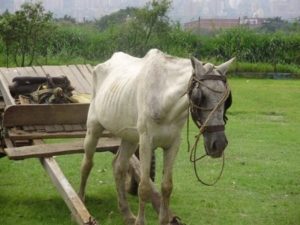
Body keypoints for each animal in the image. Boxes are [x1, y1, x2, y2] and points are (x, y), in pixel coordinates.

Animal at [78, 49, 233, 225]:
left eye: (226, 99)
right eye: (200, 96)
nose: (219, 144)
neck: (164, 99)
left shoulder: (173, 144)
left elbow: (166, 186)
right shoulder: (146, 142)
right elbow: (144, 187)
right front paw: (140, 221)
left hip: (130, 138)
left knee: (119, 166)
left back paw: (126, 213)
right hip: (93, 129)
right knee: (87, 163)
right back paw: (81, 199)